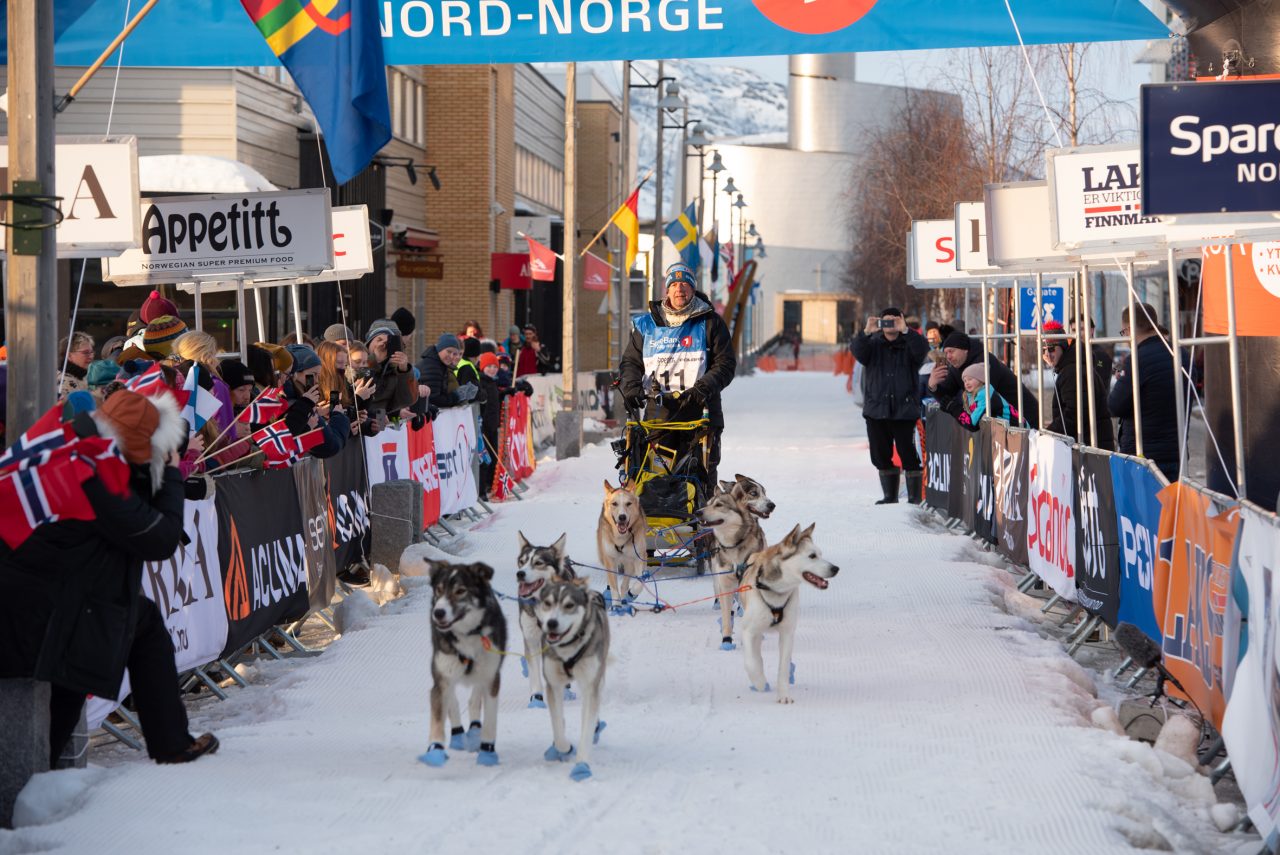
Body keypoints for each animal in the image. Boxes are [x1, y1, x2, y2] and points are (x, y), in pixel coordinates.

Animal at [414, 560, 504, 767]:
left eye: (460, 591)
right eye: (439, 590)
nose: (438, 613)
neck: (467, 635)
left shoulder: (491, 679)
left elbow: (490, 721)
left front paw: (487, 752)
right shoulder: (441, 679)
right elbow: (438, 718)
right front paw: (435, 751)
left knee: (474, 699)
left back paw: (475, 729)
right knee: (452, 702)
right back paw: (457, 735)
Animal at [519, 535, 581, 706]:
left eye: (538, 562)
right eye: (521, 561)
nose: (519, 574)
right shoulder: (531, 638)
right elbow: (534, 669)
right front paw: (536, 697)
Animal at [532, 573, 606, 783]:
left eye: (569, 605)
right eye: (548, 603)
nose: (551, 623)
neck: (568, 649)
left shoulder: (590, 683)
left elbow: (586, 726)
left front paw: (581, 764)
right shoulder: (554, 685)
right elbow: (557, 724)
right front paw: (564, 748)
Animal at [696, 483, 762, 650]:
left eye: (719, 505)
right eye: (708, 504)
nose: (697, 512)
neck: (734, 545)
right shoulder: (725, 582)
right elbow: (726, 615)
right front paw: (726, 640)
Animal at [742, 524, 839, 706]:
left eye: (820, 554)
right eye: (812, 556)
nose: (836, 568)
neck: (777, 593)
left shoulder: (787, 633)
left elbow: (783, 667)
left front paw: (783, 695)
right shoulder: (748, 630)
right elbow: (751, 662)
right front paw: (759, 681)